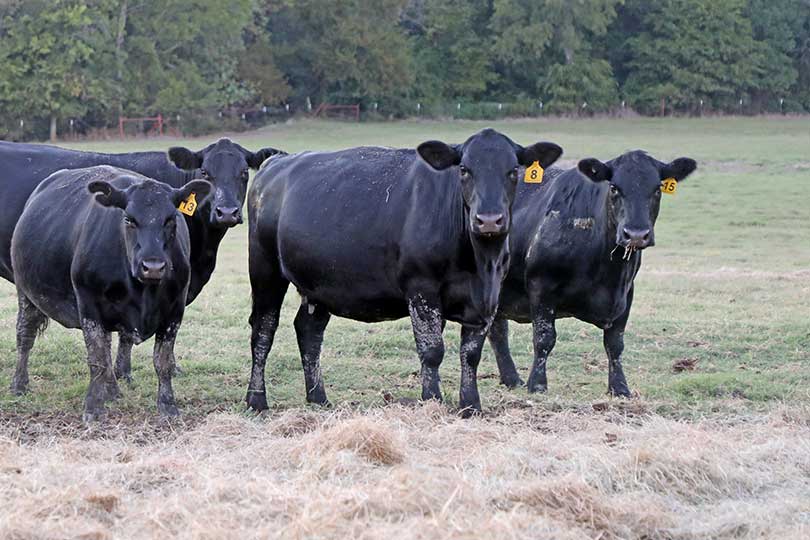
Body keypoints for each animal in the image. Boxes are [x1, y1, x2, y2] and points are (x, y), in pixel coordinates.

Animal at [10, 166, 211, 420]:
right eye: (128, 219)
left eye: (171, 219)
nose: (153, 266)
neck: (143, 292)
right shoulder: (89, 305)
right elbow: (96, 359)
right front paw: (93, 407)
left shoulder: (175, 310)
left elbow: (162, 361)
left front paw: (168, 407)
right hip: (26, 293)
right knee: (24, 336)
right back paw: (19, 384)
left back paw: (112, 391)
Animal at [245, 128, 563, 416]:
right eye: (464, 169)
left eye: (513, 171)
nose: (489, 220)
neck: (480, 264)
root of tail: (277, 162)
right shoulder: (421, 288)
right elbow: (432, 350)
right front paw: (432, 400)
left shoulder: (487, 298)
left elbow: (471, 354)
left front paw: (471, 406)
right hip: (265, 268)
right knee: (263, 329)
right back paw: (256, 400)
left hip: (319, 284)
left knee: (309, 331)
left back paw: (318, 398)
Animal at [483, 150, 697, 396]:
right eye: (614, 188)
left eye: (657, 188)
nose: (635, 234)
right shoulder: (541, 285)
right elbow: (544, 338)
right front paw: (537, 384)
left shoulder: (627, 292)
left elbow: (615, 343)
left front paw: (619, 388)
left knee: (497, 330)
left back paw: (511, 379)